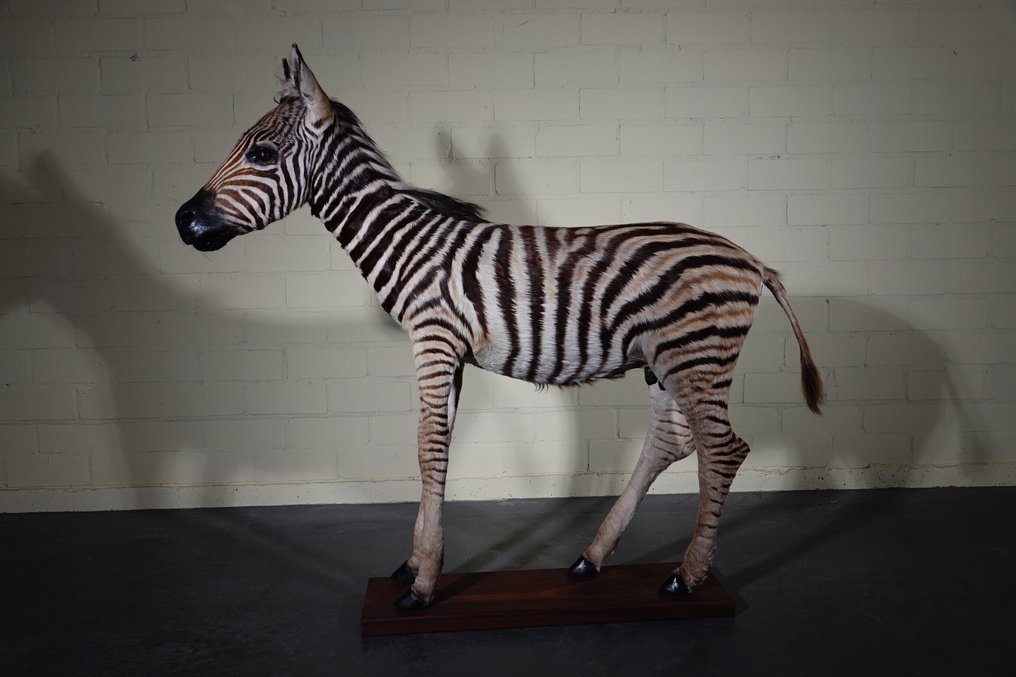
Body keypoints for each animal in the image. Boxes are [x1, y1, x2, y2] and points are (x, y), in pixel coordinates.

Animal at [175, 45, 824, 610]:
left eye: (261, 154)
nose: (183, 221)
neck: (407, 243)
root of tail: (750, 258)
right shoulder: (451, 352)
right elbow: (436, 447)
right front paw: (414, 565)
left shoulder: (433, 341)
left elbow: (428, 447)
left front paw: (423, 585)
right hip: (663, 360)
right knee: (673, 441)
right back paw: (593, 558)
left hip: (695, 355)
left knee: (722, 449)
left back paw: (685, 578)